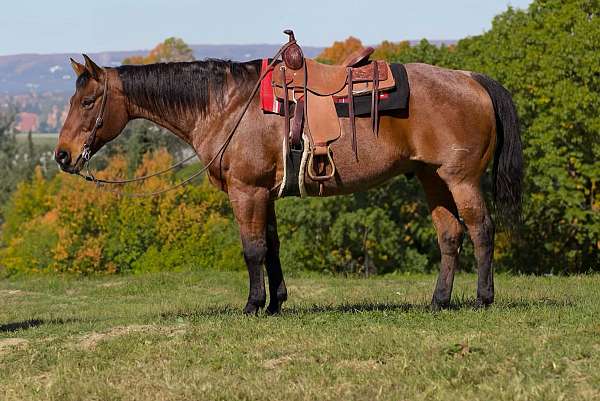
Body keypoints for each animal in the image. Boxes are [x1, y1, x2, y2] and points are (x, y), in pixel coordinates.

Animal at [57, 53, 524, 314]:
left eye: (88, 101)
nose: (62, 155)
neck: (227, 106)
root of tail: (471, 78)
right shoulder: (265, 192)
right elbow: (272, 246)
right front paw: (276, 302)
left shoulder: (246, 190)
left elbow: (252, 249)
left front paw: (252, 305)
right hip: (432, 178)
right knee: (450, 235)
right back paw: (439, 301)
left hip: (460, 179)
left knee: (481, 230)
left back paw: (483, 298)